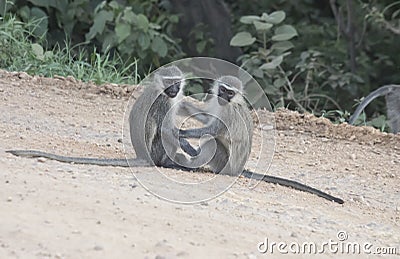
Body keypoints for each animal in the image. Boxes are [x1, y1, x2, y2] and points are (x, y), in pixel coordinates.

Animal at [4, 66, 195, 170]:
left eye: (177, 82)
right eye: (168, 82)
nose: (173, 90)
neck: (164, 92)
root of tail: (143, 156)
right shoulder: (162, 102)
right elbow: (165, 129)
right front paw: (188, 145)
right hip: (157, 151)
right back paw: (170, 162)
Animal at [180, 76, 344, 204]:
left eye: (230, 92)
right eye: (223, 89)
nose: (224, 96)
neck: (228, 103)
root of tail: (238, 169)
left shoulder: (229, 112)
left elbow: (212, 130)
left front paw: (180, 133)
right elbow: (206, 118)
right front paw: (183, 104)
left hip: (224, 163)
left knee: (210, 139)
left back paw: (192, 157)